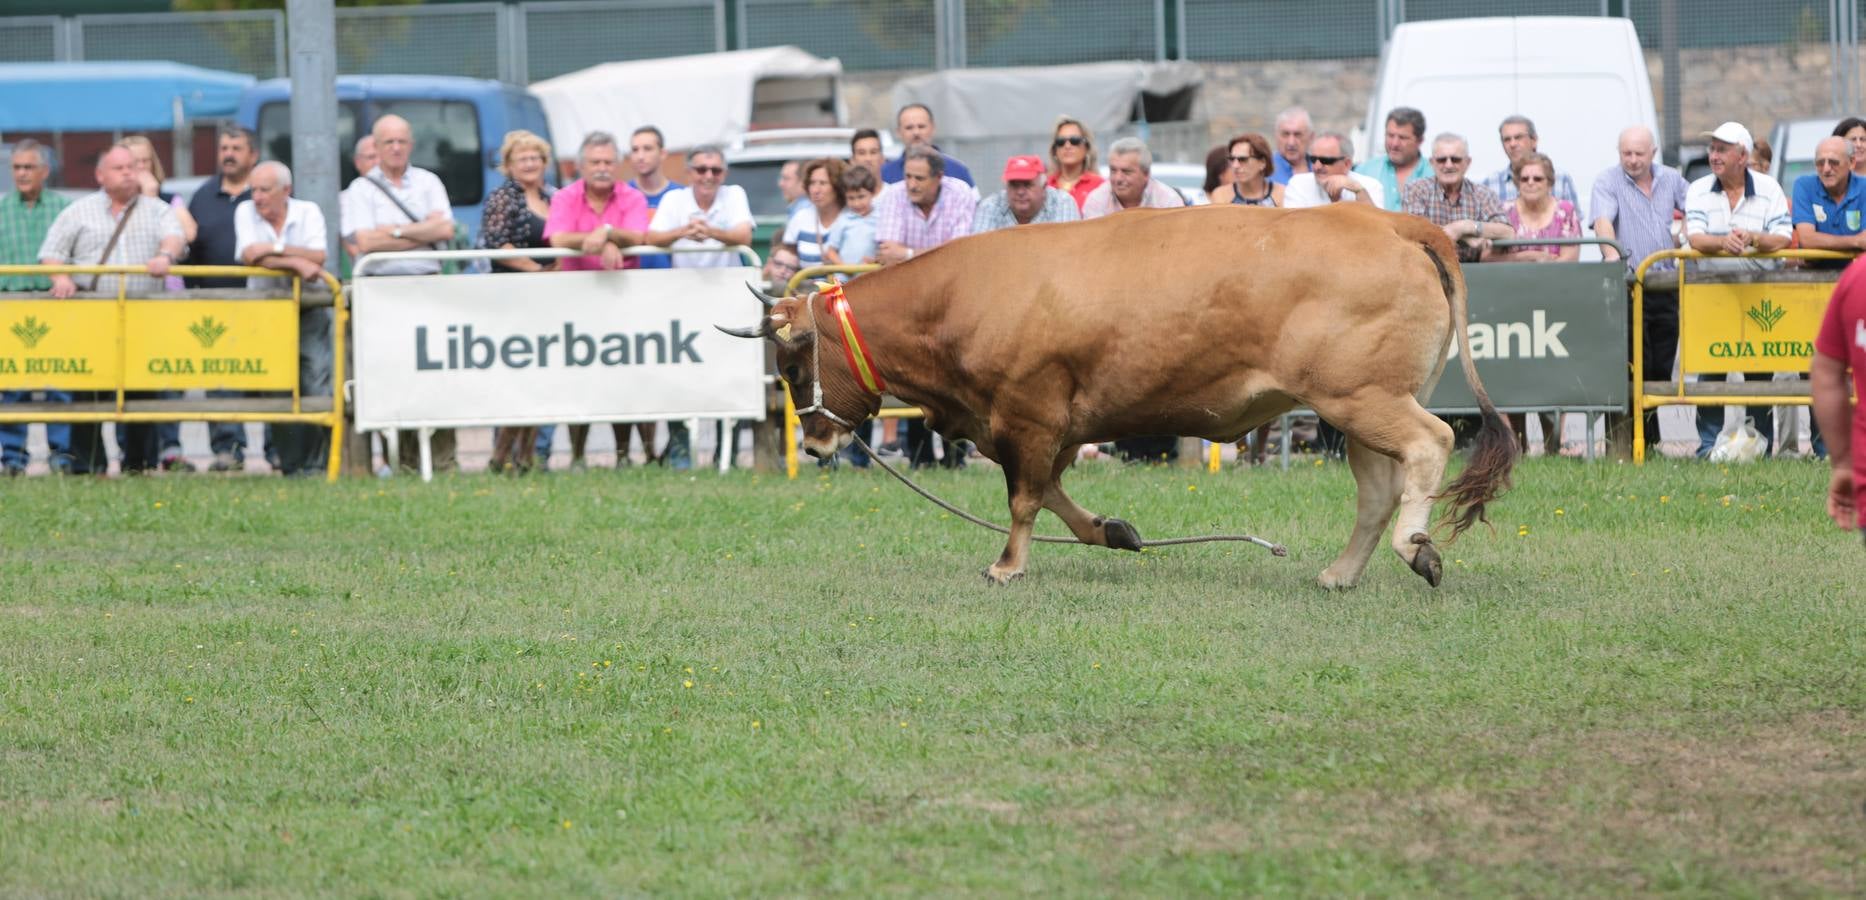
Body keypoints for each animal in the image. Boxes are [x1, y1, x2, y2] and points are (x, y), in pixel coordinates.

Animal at [724, 202, 1515, 590]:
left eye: (790, 363)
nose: (816, 441)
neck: (958, 298)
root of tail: (1390, 221)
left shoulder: (1029, 416)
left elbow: (1024, 498)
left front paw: (1007, 566)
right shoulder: (1056, 426)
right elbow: (1054, 498)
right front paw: (1114, 531)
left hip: (1362, 398)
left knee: (1433, 444)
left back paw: (1417, 548)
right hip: (1355, 410)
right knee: (1377, 491)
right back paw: (1342, 575)